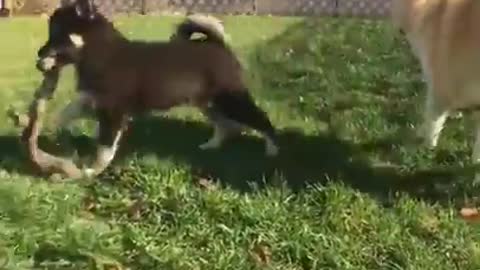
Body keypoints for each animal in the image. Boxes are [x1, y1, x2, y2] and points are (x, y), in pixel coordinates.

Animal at [35, 0, 280, 177]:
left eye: (57, 35)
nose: (38, 55)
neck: (101, 53)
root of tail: (217, 45)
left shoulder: (113, 112)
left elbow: (104, 148)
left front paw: (93, 170)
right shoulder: (91, 99)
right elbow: (65, 113)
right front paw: (57, 130)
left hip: (231, 100)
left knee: (261, 119)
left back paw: (273, 149)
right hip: (207, 103)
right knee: (225, 126)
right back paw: (211, 145)